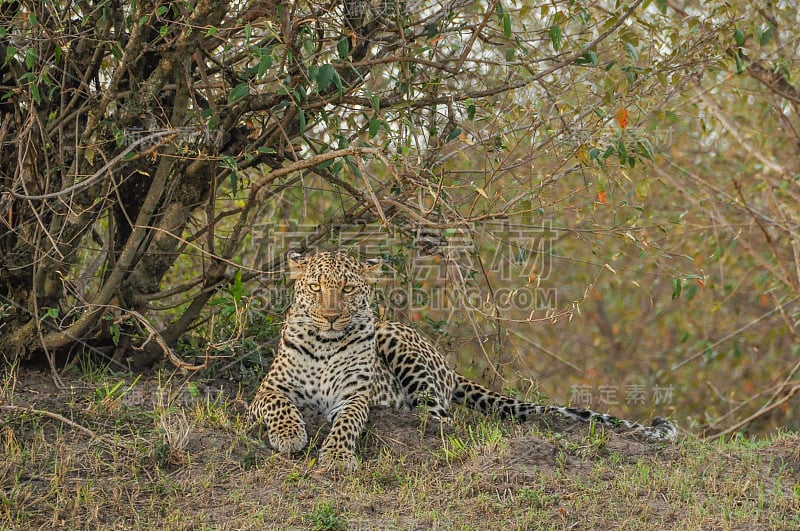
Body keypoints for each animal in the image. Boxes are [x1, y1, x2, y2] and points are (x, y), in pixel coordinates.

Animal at [248, 251, 676, 472]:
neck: (325, 342)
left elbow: (347, 423)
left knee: (441, 419)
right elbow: (280, 405)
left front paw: (337, 456)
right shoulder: (267, 389)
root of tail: (449, 366)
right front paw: (289, 435)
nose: (332, 316)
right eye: (315, 287)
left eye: (348, 289)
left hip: (398, 344)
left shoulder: (353, 396)